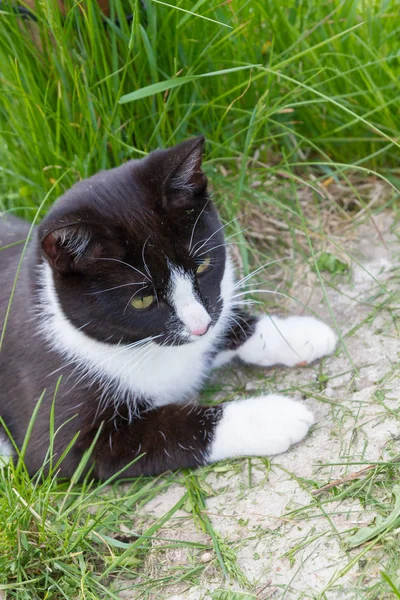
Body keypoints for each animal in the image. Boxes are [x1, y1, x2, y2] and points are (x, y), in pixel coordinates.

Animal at [0, 138, 338, 480]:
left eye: (202, 265)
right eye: (142, 300)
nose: (199, 326)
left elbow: (226, 321)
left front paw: (298, 334)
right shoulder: (61, 428)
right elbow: (168, 429)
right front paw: (270, 417)